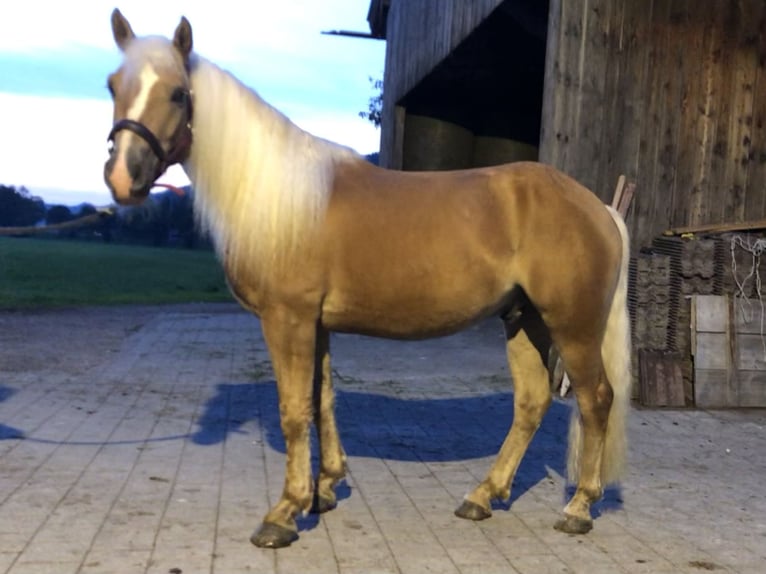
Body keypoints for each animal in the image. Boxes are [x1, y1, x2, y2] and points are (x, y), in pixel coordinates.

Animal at [103, 9, 632, 549]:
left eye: (177, 93)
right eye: (112, 86)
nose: (123, 177)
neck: (282, 198)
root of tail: (599, 207)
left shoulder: (287, 319)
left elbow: (295, 409)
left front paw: (285, 513)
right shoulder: (316, 324)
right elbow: (322, 401)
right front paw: (324, 490)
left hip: (572, 326)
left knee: (596, 400)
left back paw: (579, 507)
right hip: (524, 319)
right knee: (531, 402)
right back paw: (483, 496)